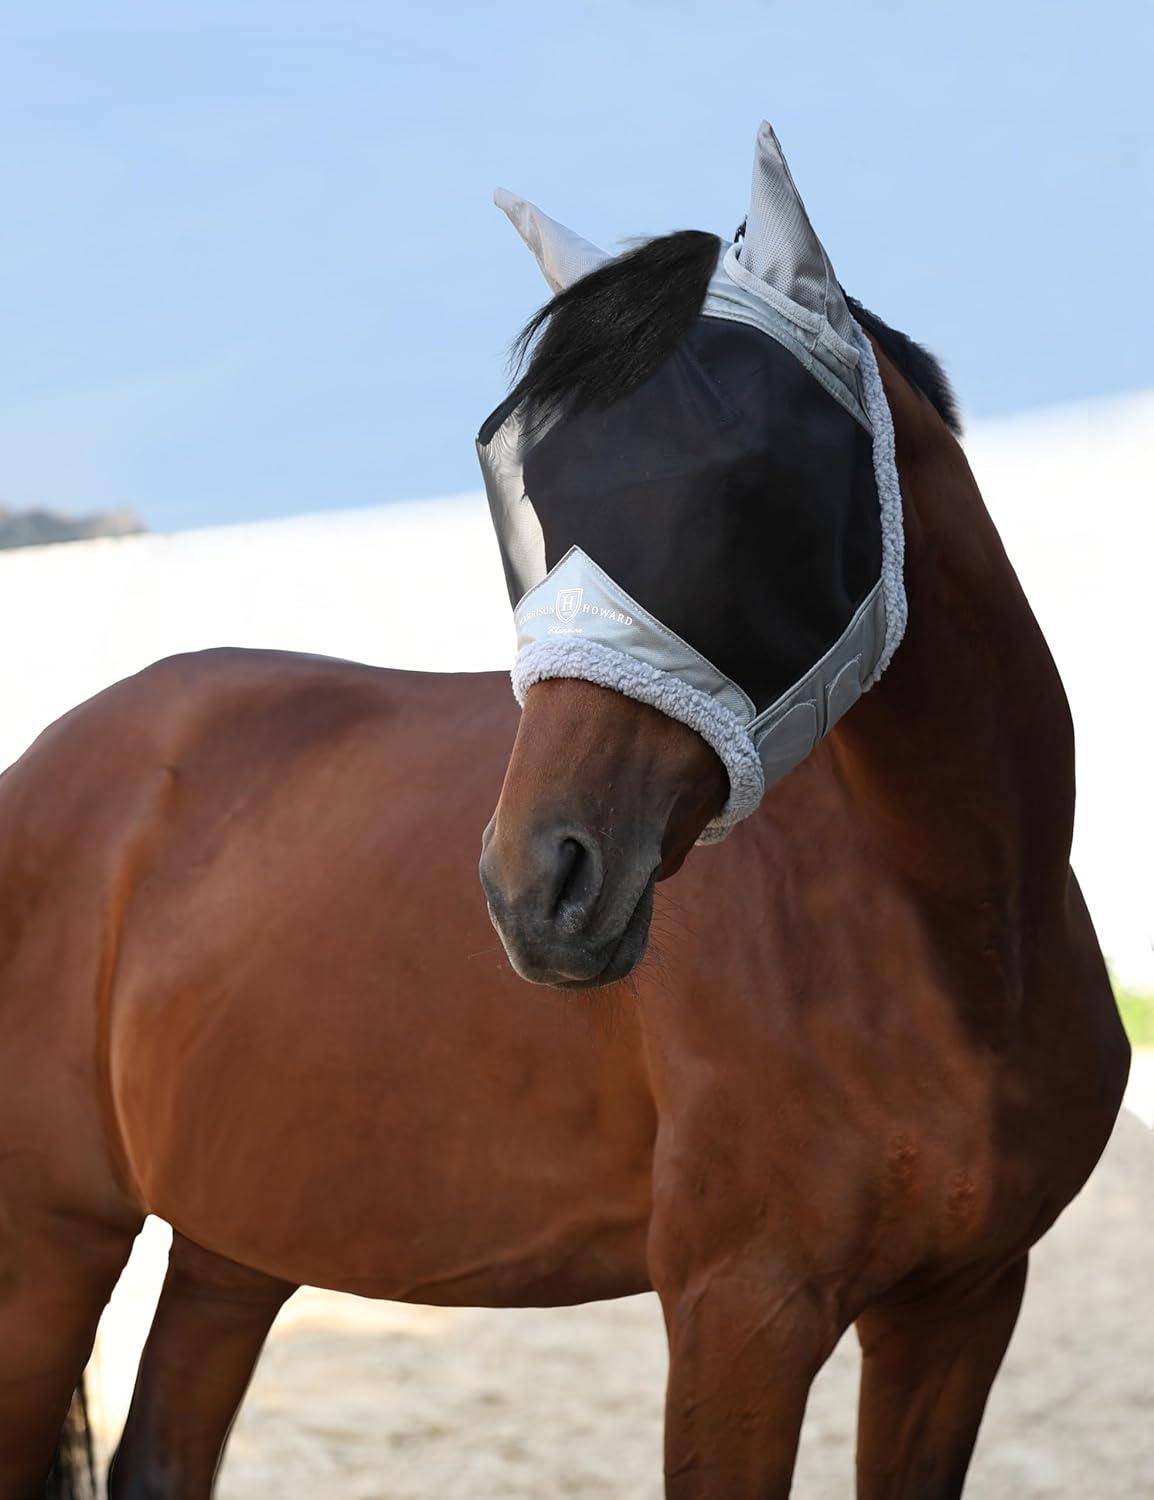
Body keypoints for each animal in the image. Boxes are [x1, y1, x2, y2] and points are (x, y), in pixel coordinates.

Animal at [0, 125, 1128, 1499]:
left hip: (235, 1241)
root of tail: (52, 762)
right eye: (523, 485)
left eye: (747, 475)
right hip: (48, 1241)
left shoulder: (959, 1306)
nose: (535, 889)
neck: (951, 950)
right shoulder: (741, 1316)